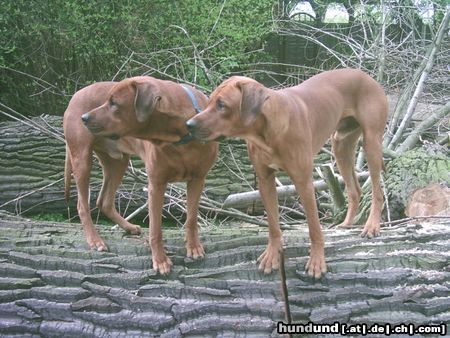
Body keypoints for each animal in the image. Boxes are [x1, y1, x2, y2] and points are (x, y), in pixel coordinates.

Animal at [63, 77, 218, 274]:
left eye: (113, 103)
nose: (84, 118)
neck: (179, 135)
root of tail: (74, 96)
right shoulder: (156, 184)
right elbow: (155, 229)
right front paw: (160, 260)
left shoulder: (198, 179)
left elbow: (191, 219)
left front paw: (194, 247)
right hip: (82, 158)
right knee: (82, 205)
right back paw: (95, 240)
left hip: (117, 162)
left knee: (104, 201)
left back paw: (128, 227)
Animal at [185, 68, 386, 278]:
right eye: (209, 102)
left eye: (221, 105)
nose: (188, 124)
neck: (267, 131)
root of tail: (365, 75)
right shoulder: (265, 180)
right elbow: (273, 225)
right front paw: (272, 255)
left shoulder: (303, 181)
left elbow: (314, 228)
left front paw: (316, 261)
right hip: (341, 144)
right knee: (355, 190)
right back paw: (346, 223)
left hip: (371, 142)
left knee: (377, 191)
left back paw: (372, 226)